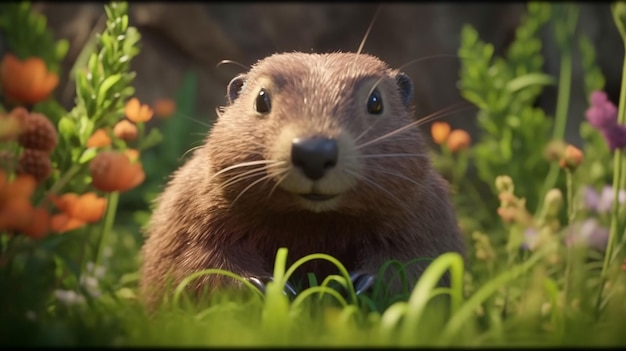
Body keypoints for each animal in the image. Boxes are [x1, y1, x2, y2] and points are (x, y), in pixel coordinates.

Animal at [140, 52, 464, 308]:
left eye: (375, 100)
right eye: (261, 99)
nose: (314, 152)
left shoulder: (428, 217)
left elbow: (418, 262)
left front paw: (360, 283)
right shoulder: (190, 213)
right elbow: (191, 263)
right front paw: (264, 285)